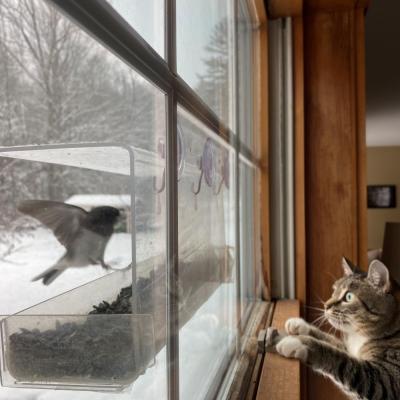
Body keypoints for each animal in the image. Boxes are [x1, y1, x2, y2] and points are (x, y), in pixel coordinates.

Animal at [276, 258, 400, 398]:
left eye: (349, 297)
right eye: (334, 291)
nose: (326, 305)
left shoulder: (386, 381)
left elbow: (342, 359)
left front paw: (301, 343)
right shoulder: (349, 348)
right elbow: (332, 341)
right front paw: (300, 326)